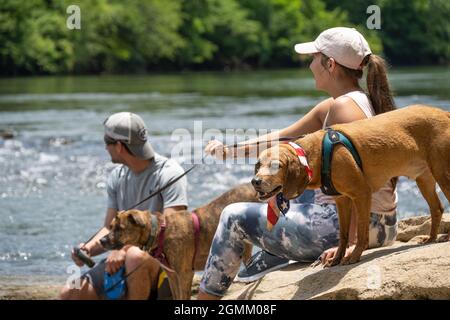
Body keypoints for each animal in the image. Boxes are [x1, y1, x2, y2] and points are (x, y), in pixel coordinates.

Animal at [100, 184, 258, 298]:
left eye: (120, 228)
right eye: (111, 226)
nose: (102, 240)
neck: (160, 232)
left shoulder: (184, 274)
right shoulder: (172, 275)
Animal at [253, 105, 450, 268]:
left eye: (276, 165)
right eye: (258, 165)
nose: (255, 182)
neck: (314, 154)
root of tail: (444, 113)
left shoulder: (362, 194)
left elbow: (361, 233)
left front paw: (354, 256)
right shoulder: (342, 200)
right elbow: (344, 235)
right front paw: (336, 258)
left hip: (442, 173)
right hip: (424, 178)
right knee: (437, 208)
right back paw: (431, 238)